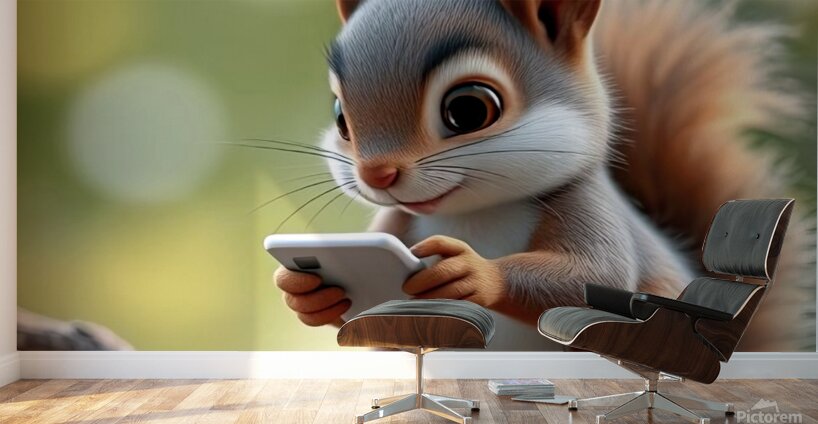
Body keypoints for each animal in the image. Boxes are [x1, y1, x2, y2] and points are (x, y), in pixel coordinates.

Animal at [274, 0, 814, 351]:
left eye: (469, 109)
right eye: (341, 117)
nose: (377, 174)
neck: (475, 212)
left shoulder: (583, 203)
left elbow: (597, 273)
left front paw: (475, 272)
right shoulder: (394, 224)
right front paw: (305, 293)